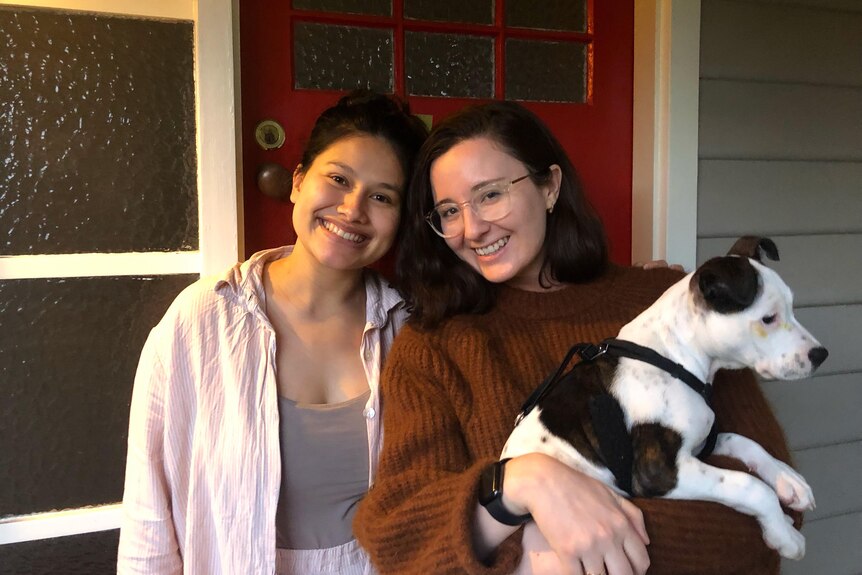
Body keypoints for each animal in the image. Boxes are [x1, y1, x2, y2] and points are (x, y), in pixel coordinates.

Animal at [502, 234, 828, 560]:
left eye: (792, 307)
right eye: (768, 319)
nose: (821, 355)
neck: (672, 358)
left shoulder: (701, 443)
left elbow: (745, 442)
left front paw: (788, 479)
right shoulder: (660, 472)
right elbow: (749, 486)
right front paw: (784, 534)